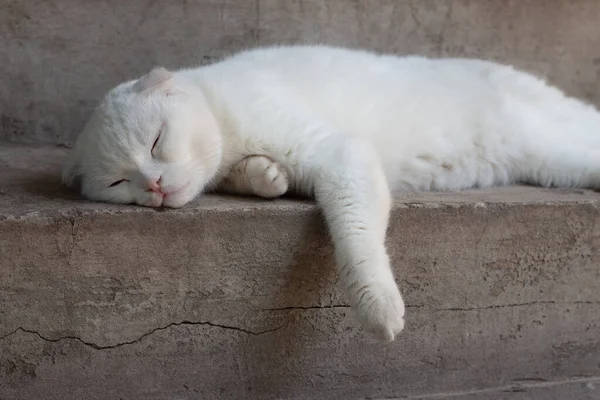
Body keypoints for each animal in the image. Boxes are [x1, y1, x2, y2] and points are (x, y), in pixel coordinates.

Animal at [62, 46, 600, 340]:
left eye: (156, 141)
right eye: (119, 182)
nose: (152, 185)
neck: (220, 108)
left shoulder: (341, 154)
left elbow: (356, 239)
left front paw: (378, 306)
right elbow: (255, 174)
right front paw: (264, 176)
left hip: (557, 145)